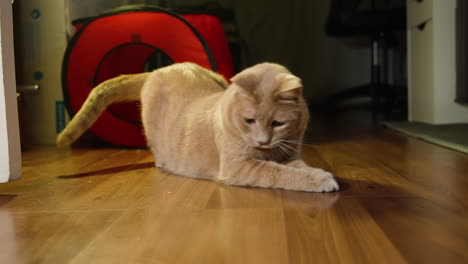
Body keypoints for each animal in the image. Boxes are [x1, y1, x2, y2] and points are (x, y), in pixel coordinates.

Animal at [56, 63, 338, 193]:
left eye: (278, 123)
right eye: (249, 120)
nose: (262, 140)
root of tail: (155, 70)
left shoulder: (290, 153)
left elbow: (298, 167)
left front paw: (319, 174)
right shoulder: (241, 167)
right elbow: (279, 173)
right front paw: (321, 180)